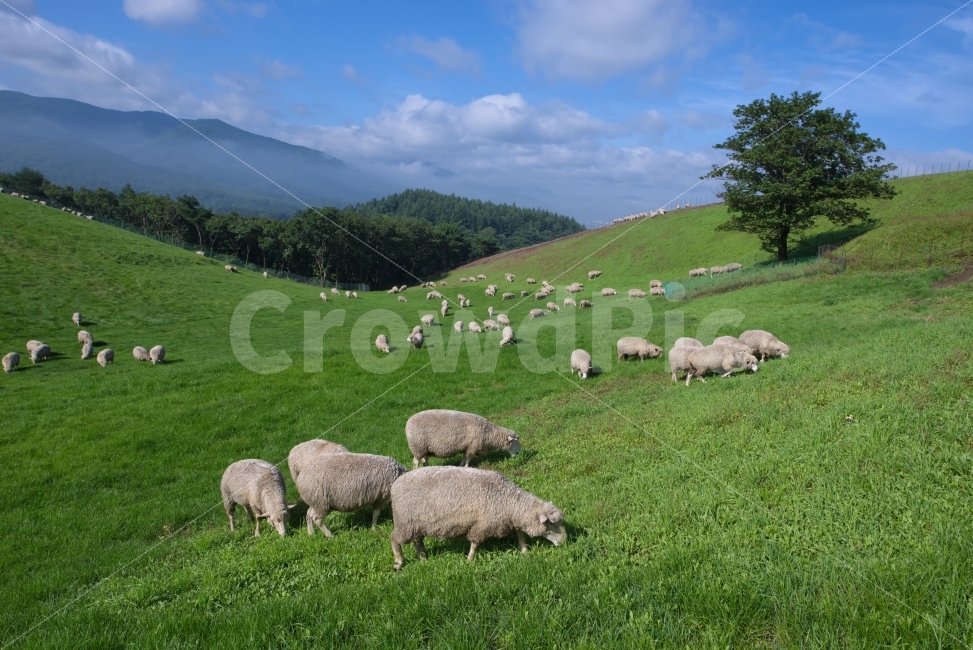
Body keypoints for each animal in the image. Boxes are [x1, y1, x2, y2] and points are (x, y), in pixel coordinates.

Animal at [390, 466, 565, 569]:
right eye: (551, 523)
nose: (565, 541)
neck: (508, 500)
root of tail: (395, 484)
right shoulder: (482, 525)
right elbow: (475, 543)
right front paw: (469, 560)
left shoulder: (507, 519)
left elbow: (519, 532)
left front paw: (524, 549)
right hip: (404, 523)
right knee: (394, 538)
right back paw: (398, 562)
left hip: (415, 525)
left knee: (417, 542)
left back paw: (423, 559)